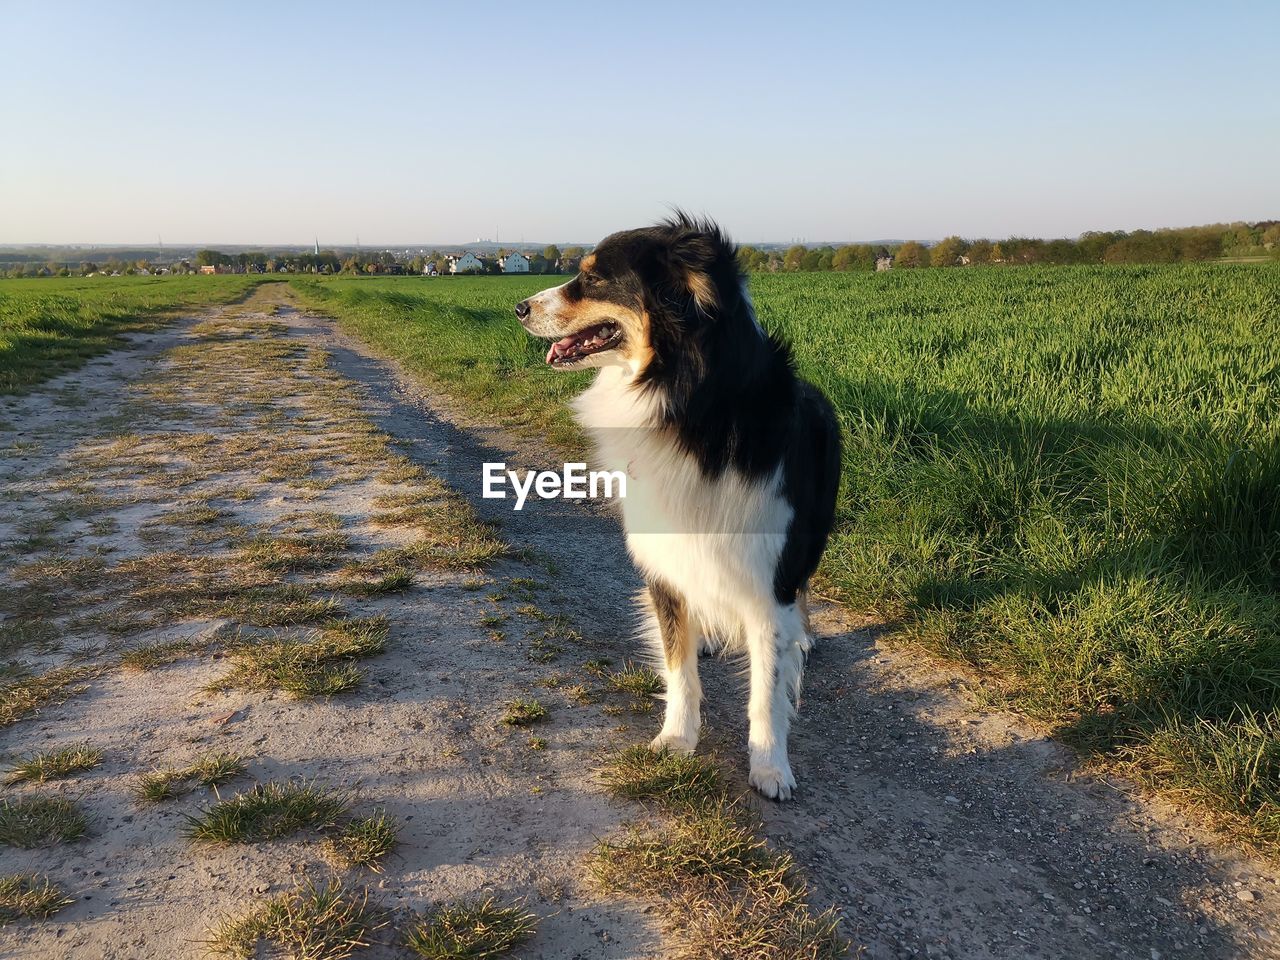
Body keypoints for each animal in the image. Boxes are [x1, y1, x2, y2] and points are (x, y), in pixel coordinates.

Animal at [514, 217, 844, 803]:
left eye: (593, 278)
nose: (519, 307)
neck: (689, 402)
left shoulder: (769, 573)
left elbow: (767, 688)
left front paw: (770, 767)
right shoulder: (666, 559)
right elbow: (678, 666)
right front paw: (676, 738)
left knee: (802, 590)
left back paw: (802, 636)